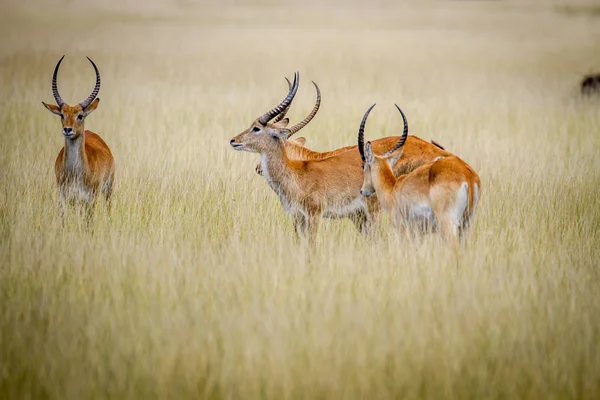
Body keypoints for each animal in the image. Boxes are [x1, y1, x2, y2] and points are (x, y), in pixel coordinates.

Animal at [42, 55, 115, 225]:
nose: (68, 130)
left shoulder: (90, 200)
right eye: (62, 115)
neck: (76, 173)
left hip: (108, 190)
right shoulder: (63, 199)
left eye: (80, 115)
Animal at [358, 103, 480, 247]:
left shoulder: (403, 230)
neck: (393, 189)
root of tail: (468, 175)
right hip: (466, 225)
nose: (363, 191)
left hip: (448, 225)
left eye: (363, 165)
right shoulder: (418, 234)